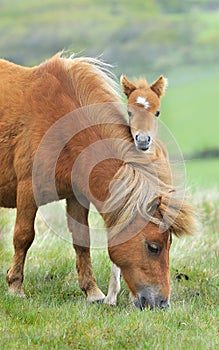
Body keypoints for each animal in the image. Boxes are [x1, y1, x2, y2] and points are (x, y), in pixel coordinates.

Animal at [0, 52, 195, 308]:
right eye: (153, 247)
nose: (162, 303)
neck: (59, 125)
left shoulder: (76, 197)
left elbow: (82, 241)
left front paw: (92, 292)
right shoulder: (27, 192)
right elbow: (23, 236)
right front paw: (15, 287)